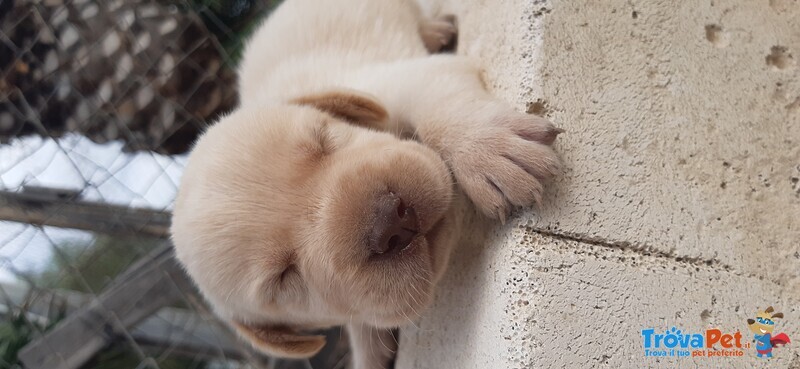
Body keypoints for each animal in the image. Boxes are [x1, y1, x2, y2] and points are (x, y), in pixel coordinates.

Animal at [172, 0, 560, 368]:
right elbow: (364, 328)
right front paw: (370, 353)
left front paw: (488, 150)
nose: (390, 222)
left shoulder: (396, 82)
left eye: (323, 139)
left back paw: (435, 30)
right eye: (284, 278)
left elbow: (434, 98)